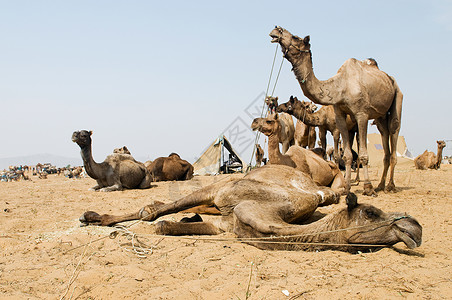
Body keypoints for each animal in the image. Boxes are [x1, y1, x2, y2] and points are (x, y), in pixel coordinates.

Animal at [79, 164, 422, 253]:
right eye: (372, 212)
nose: (415, 227)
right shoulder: (225, 192)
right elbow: (155, 216)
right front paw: (94, 216)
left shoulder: (224, 227)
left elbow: (166, 226)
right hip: (218, 186)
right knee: (157, 207)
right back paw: (91, 216)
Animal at [270, 27, 404, 196]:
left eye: (295, 37)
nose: (276, 30)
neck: (339, 86)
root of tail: (389, 78)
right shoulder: (339, 114)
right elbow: (346, 155)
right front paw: (346, 187)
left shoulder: (361, 115)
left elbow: (362, 154)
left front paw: (367, 187)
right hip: (380, 116)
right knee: (384, 137)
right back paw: (380, 185)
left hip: (397, 96)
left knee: (394, 130)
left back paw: (389, 186)